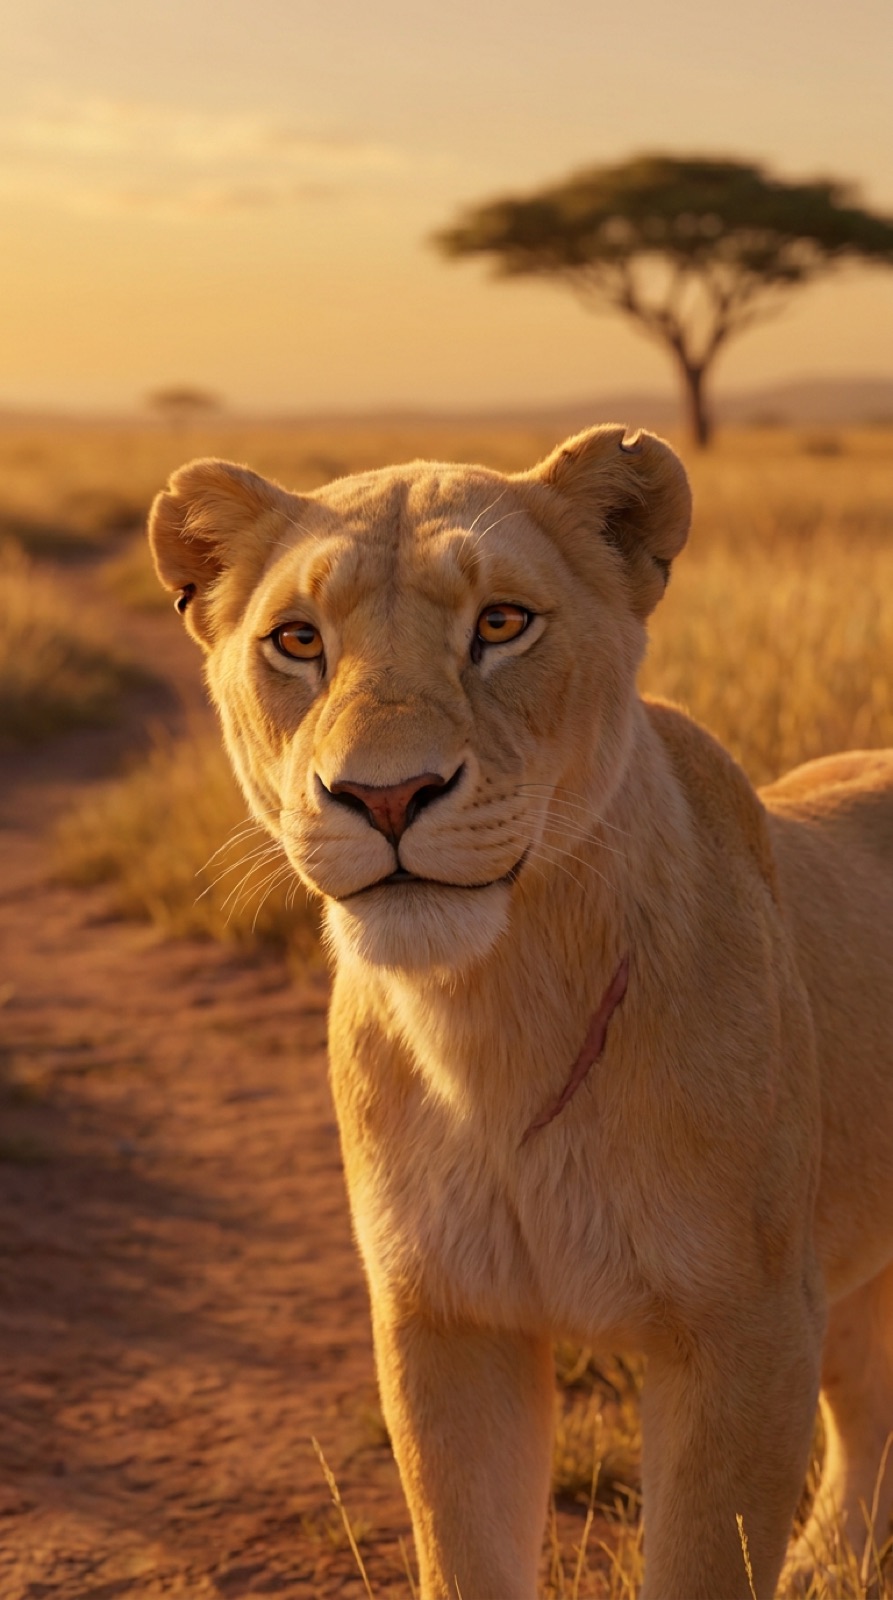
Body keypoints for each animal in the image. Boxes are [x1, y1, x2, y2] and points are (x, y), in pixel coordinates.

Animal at [149, 425, 893, 1599]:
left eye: (500, 623)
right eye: (298, 640)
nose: (386, 796)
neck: (487, 1017)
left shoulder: (746, 1325)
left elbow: (705, 1559)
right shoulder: (445, 1317)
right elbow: (463, 1553)